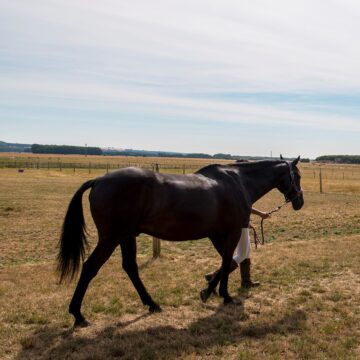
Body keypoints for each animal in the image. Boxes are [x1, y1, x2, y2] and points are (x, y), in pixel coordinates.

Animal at [57, 158, 304, 326]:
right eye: (298, 176)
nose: (299, 201)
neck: (238, 182)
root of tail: (99, 180)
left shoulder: (216, 233)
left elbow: (226, 262)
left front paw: (208, 290)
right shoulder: (232, 232)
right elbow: (226, 262)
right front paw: (225, 296)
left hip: (126, 236)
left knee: (130, 268)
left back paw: (152, 304)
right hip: (111, 238)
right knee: (90, 268)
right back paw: (78, 315)